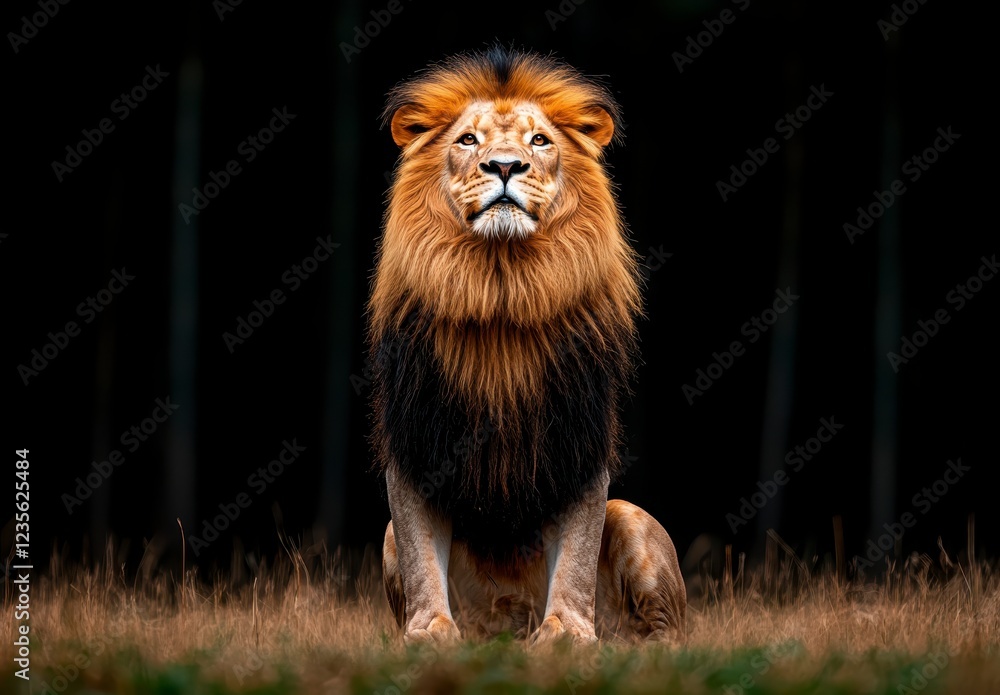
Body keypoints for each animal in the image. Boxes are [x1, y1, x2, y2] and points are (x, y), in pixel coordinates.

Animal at [369, 47, 685, 645]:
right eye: (468, 140)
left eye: (539, 141)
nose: (504, 166)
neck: (503, 289)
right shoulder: (417, 442)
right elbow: (422, 557)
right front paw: (430, 635)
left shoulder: (579, 441)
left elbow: (577, 556)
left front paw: (566, 635)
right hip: (387, 537)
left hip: (632, 517)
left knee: (669, 633)